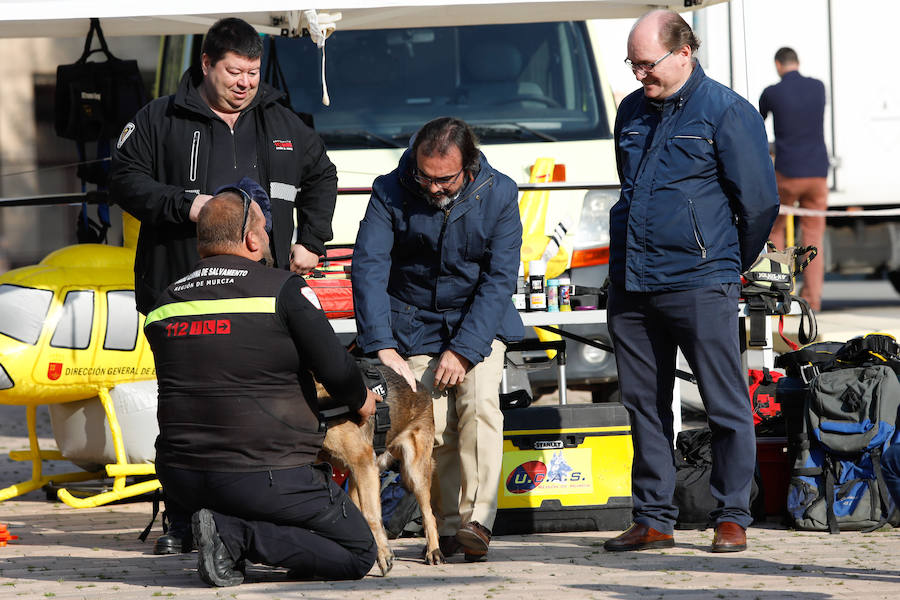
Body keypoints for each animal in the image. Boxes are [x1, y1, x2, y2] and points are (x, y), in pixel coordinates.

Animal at [318, 366, 444, 576]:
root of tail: (419, 385)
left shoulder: (363, 461)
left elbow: (372, 516)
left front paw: (384, 555)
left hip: (414, 472)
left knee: (429, 515)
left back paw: (433, 551)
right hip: (359, 478)